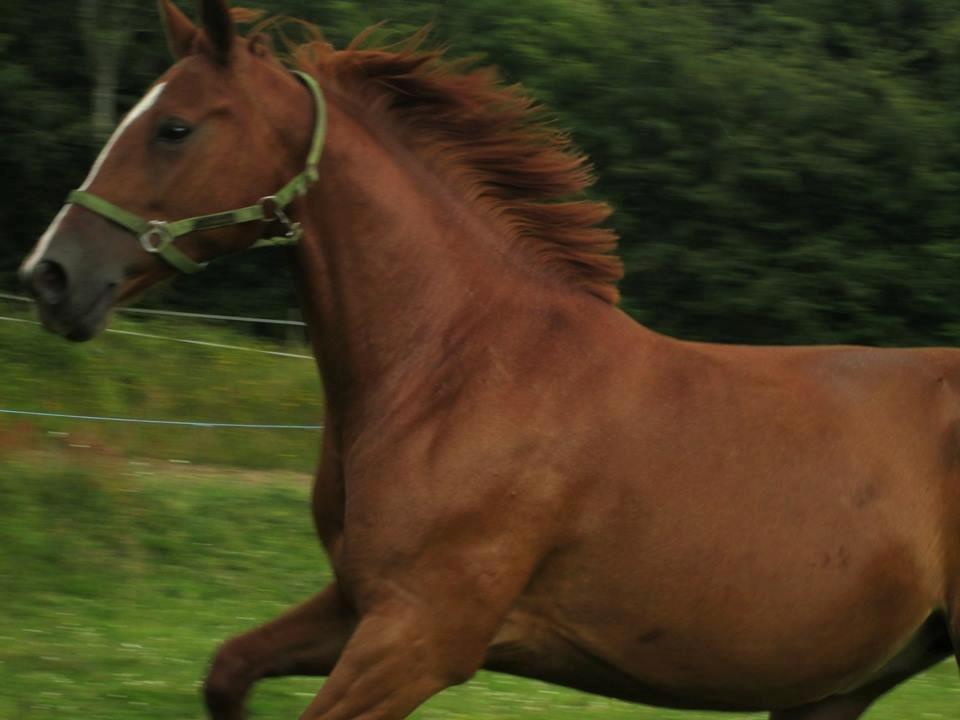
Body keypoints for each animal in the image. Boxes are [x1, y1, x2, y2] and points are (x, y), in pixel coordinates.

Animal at [18, 1, 960, 720]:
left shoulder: (423, 636)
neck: (458, 371)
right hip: (831, 690)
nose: (49, 276)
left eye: (173, 128)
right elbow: (227, 669)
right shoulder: (358, 604)